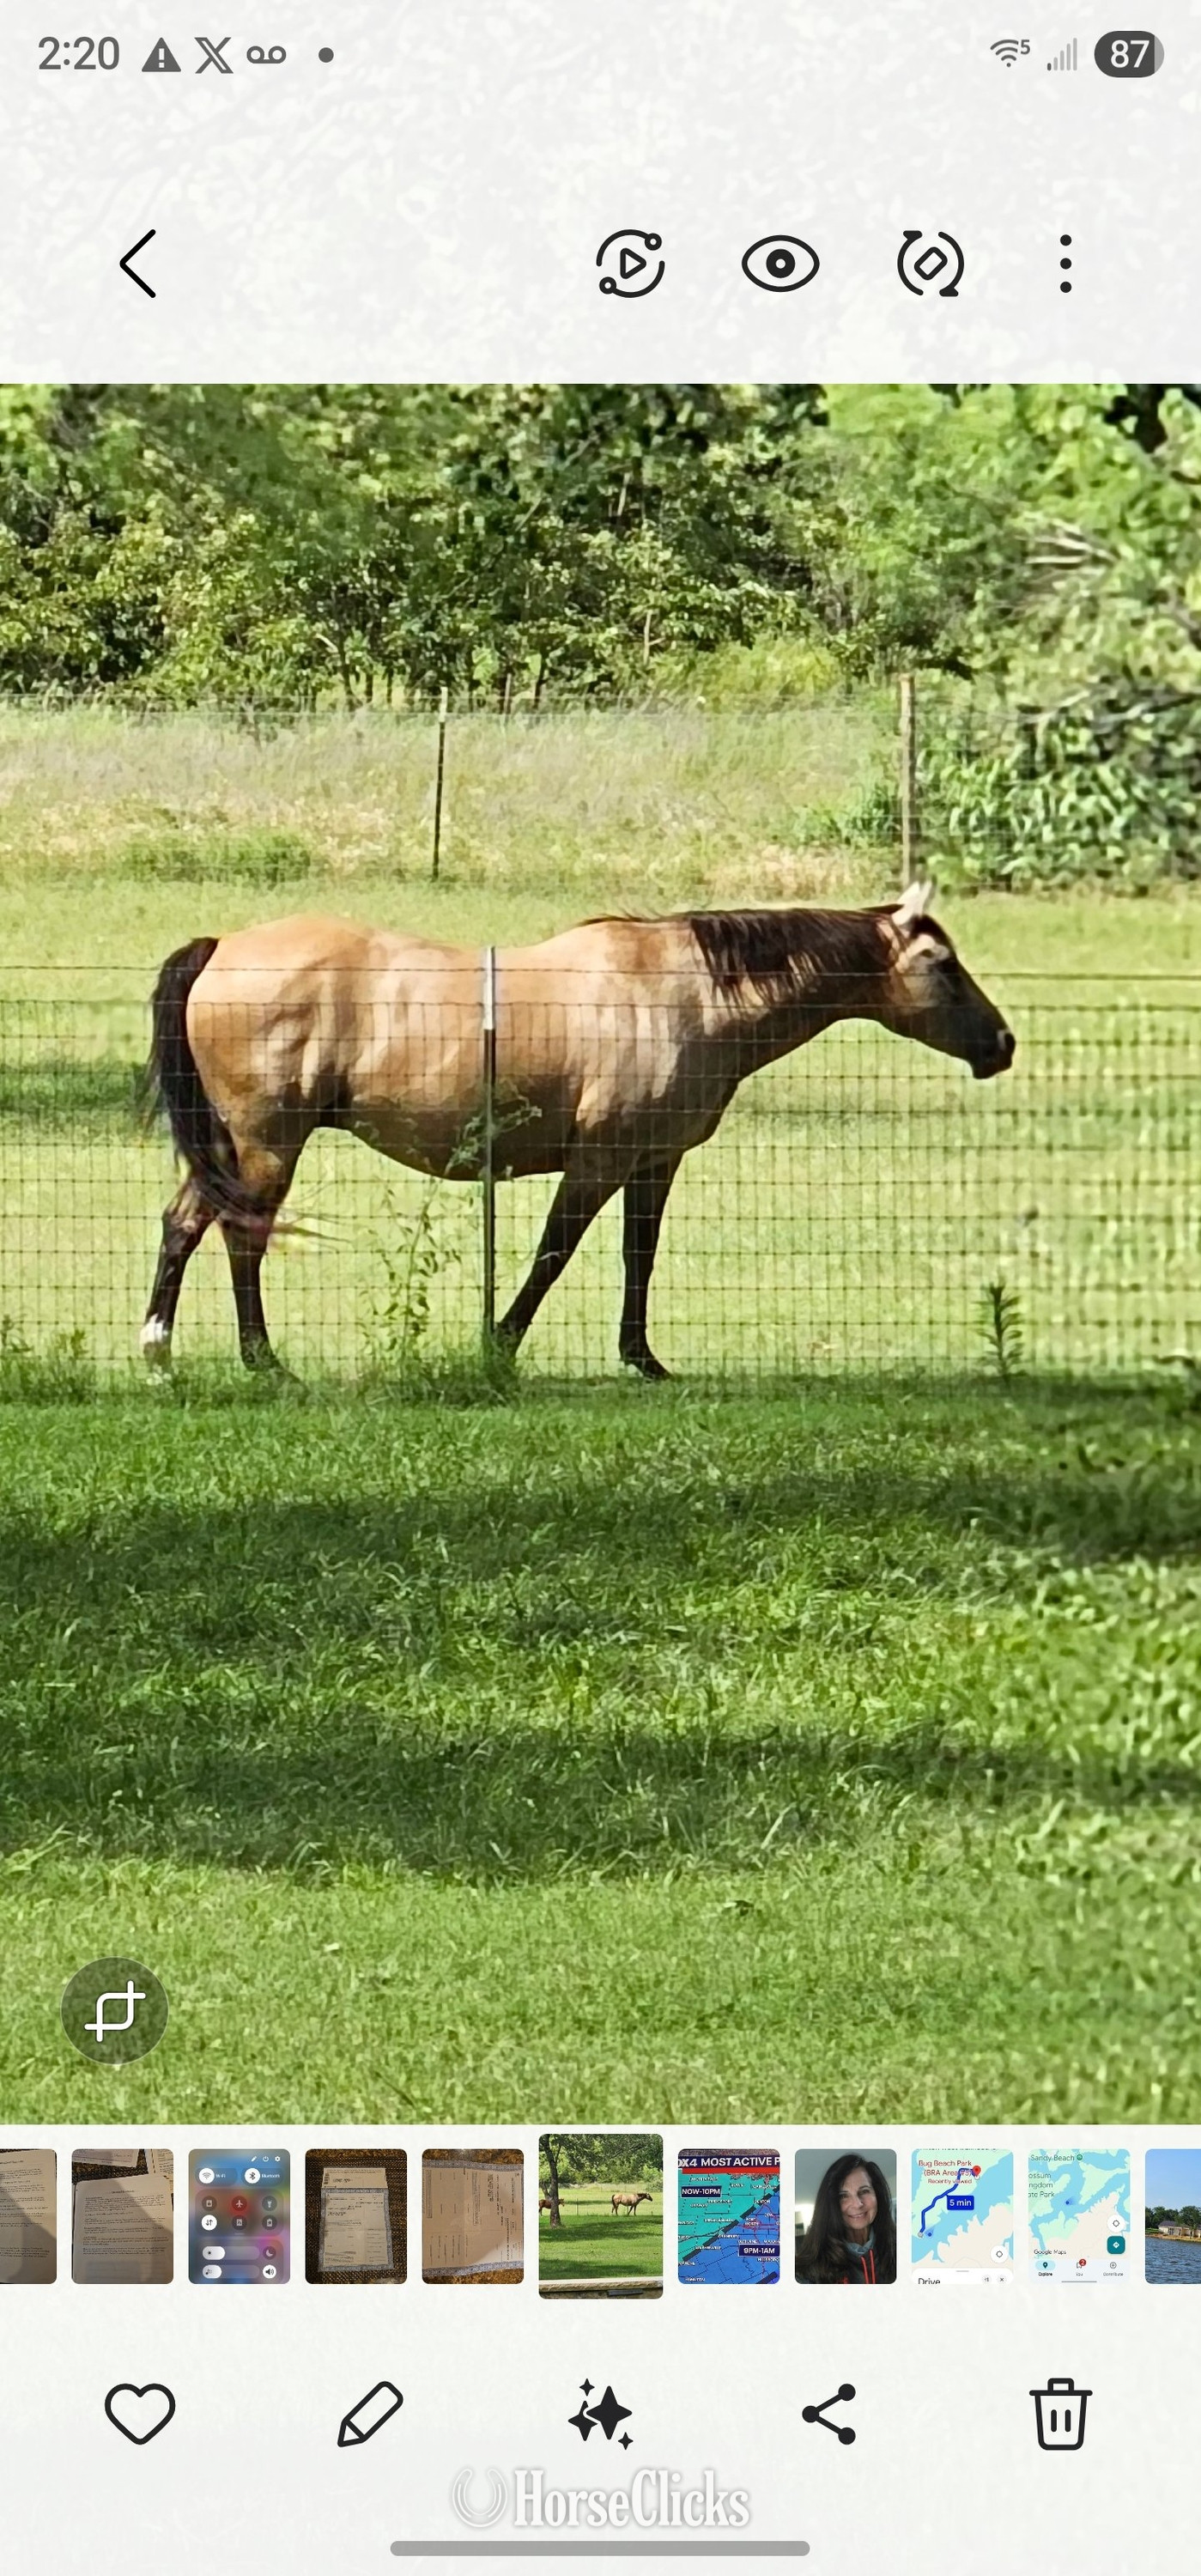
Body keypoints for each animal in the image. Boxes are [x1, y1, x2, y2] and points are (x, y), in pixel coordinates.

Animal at [140, 882, 1014, 1377]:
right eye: (941, 965)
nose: (1002, 1044)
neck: (687, 992)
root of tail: (221, 947)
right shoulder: (598, 1163)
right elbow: (552, 1255)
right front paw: (498, 1345)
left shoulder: (654, 1162)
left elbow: (638, 1257)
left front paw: (642, 1358)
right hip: (267, 1144)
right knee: (241, 1236)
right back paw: (261, 1361)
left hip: (231, 1148)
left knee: (184, 1223)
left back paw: (159, 1351)